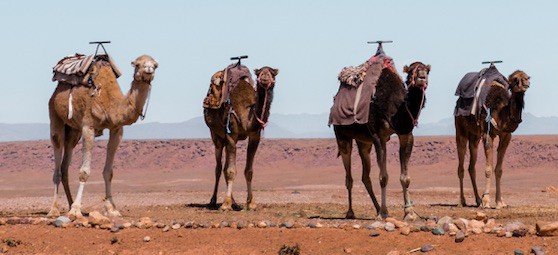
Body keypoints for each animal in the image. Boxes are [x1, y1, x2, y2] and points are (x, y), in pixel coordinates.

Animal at [47, 53, 159, 217]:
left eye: (155, 65)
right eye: (138, 64)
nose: (149, 69)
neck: (110, 103)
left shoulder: (117, 130)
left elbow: (108, 172)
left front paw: (111, 209)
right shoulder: (88, 127)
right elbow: (84, 172)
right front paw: (76, 210)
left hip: (73, 131)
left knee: (65, 164)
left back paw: (69, 204)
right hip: (55, 115)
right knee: (57, 156)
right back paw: (54, 210)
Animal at [205, 65, 278, 211]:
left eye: (273, 73)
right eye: (259, 73)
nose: (265, 77)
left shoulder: (254, 136)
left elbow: (248, 171)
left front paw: (251, 203)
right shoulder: (231, 133)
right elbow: (231, 171)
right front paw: (225, 204)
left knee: (224, 167)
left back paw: (235, 203)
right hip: (217, 137)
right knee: (218, 167)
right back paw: (213, 200)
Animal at [332, 61, 434, 219]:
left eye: (427, 70)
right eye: (411, 71)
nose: (422, 78)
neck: (395, 110)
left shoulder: (406, 134)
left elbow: (405, 177)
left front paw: (409, 213)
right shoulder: (378, 135)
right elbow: (383, 177)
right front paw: (384, 213)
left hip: (364, 143)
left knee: (365, 176)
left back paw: (377, 207)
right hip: (342, 136)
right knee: (349, 176)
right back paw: (351, 212)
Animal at [458, 70, 532, 209]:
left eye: (527, 77)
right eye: (515, 79)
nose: (526, 83)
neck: (501, 111)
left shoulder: (506, 135)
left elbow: (499, 170)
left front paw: (499, 202)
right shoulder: (487, 135)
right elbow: (488, 169)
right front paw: (487, 201)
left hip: (475, 137)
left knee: (471, 167)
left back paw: (478, 200)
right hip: (461, 129)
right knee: (461, 166)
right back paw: (462, 201)